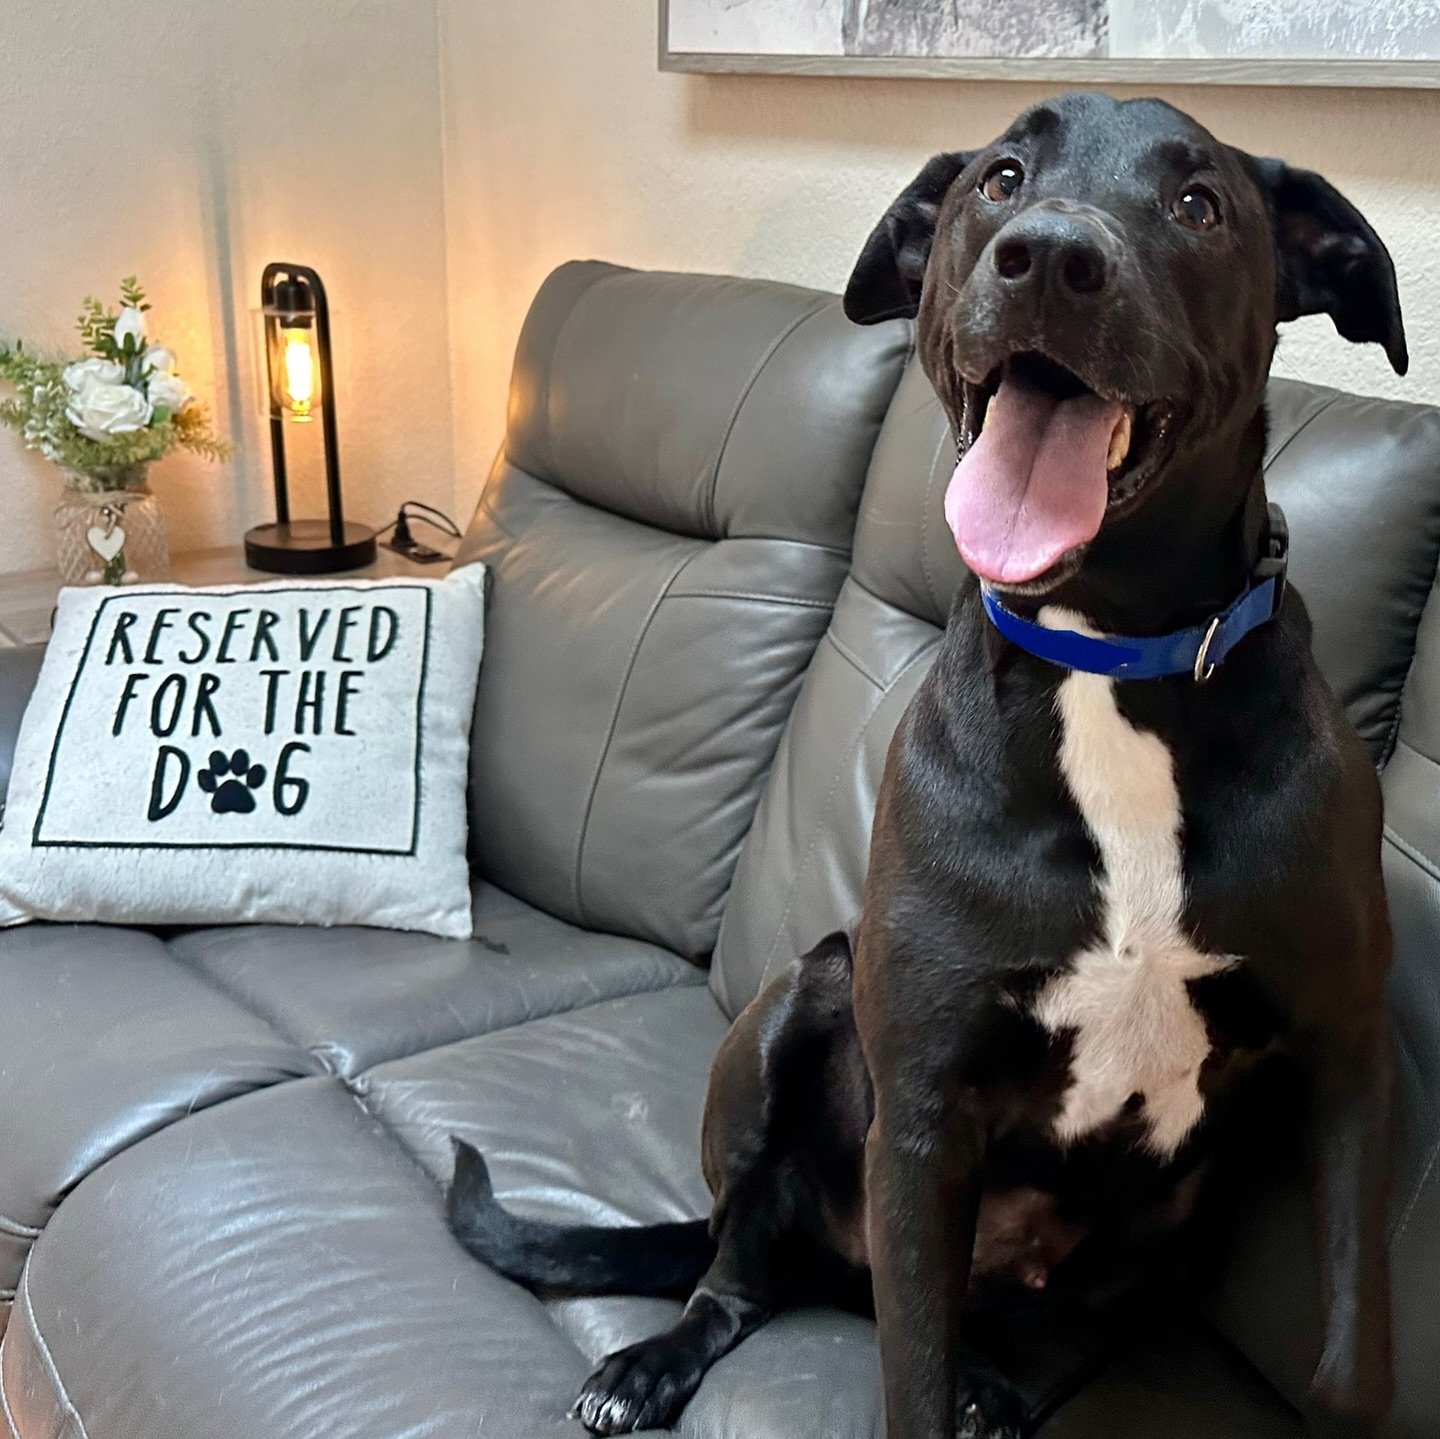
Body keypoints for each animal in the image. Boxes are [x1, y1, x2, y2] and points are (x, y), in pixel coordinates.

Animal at [448, 92, 1404, 1438]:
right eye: (1000, 179)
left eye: (1198, 203)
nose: (1048, 257)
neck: (1110, 658)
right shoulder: (923, 1109)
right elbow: (908, 1368)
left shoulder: (1350, 1058)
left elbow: (1352, 1348)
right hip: (799, 1000)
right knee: (731, 1264)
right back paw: (652, 1361)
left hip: (1155, 1230)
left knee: (1055, 1333)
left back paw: (998, 1388)